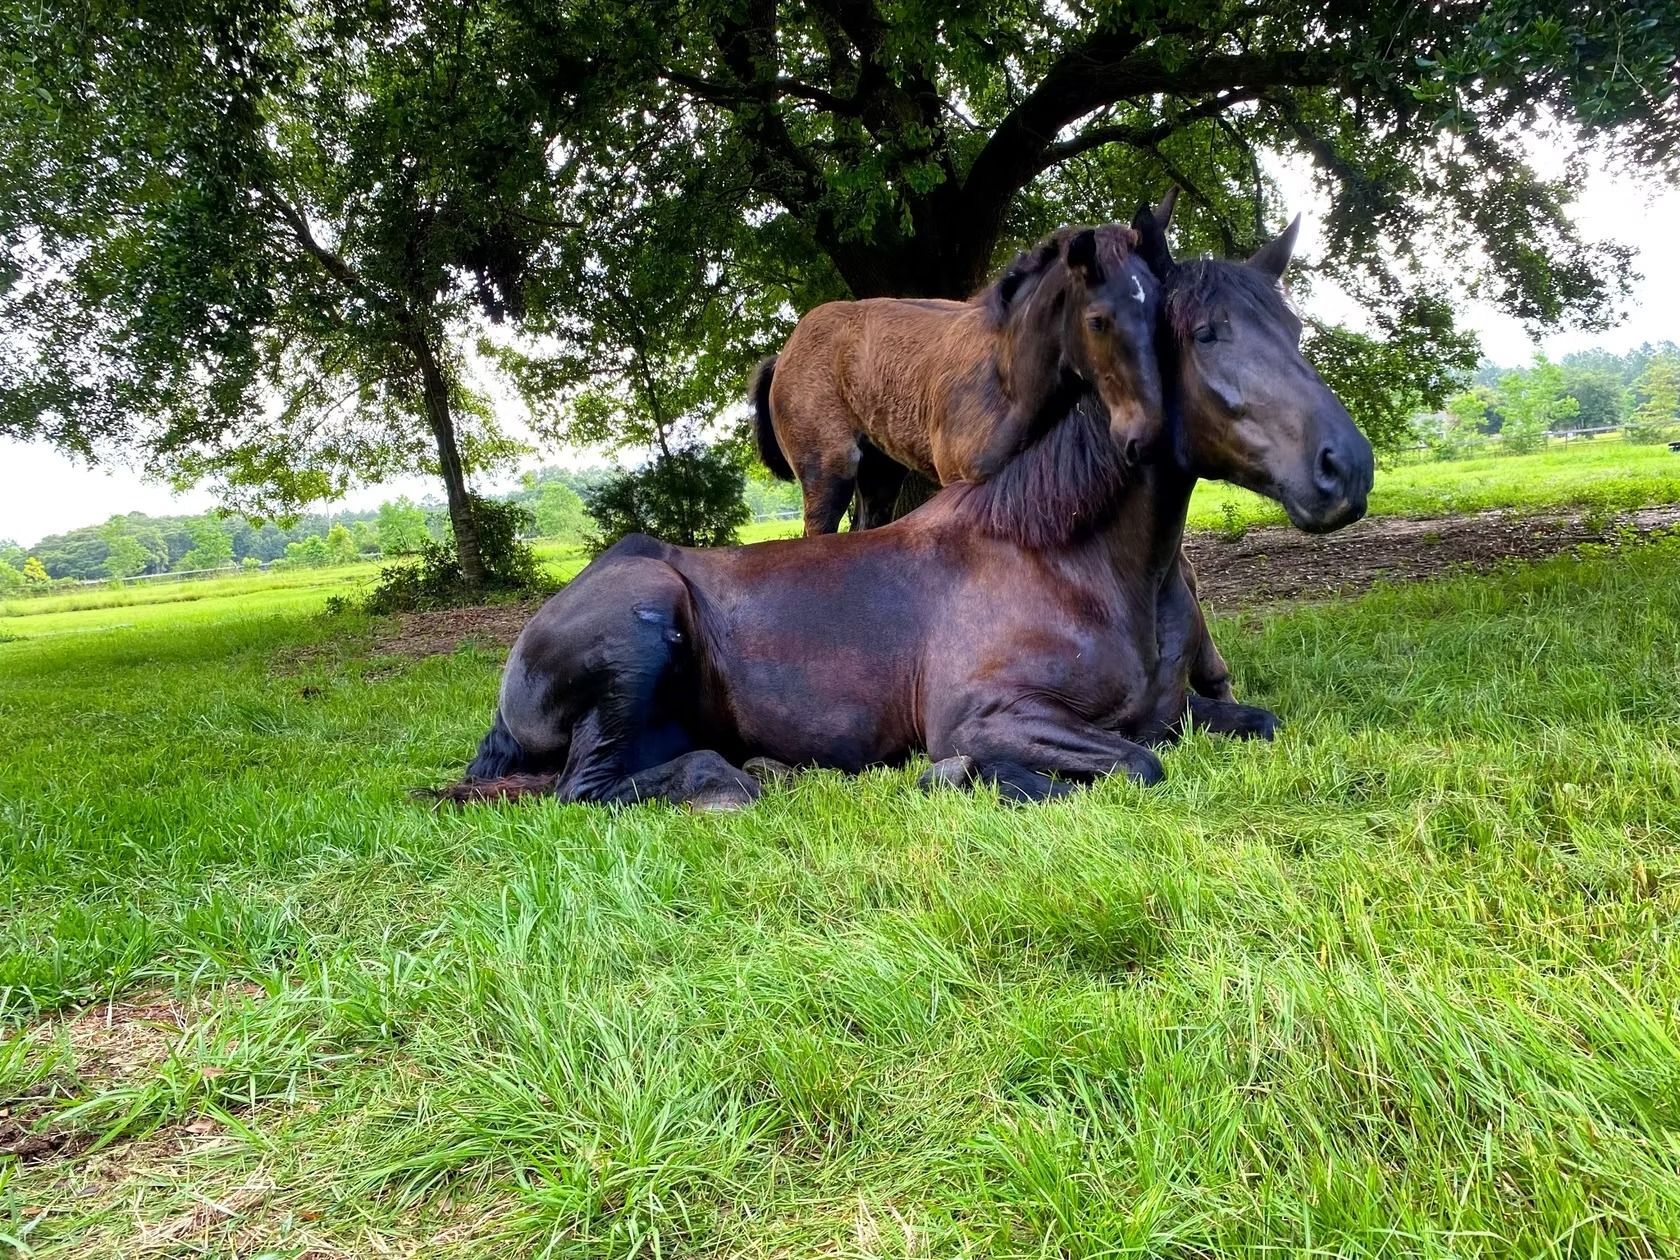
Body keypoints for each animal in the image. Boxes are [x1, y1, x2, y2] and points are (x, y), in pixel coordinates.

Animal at [750, 225, 1164, 535]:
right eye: (1097, 320)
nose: (1146, 434)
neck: (1008, 383)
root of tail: (783, 356)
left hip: (880, 473)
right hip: (828, 471)